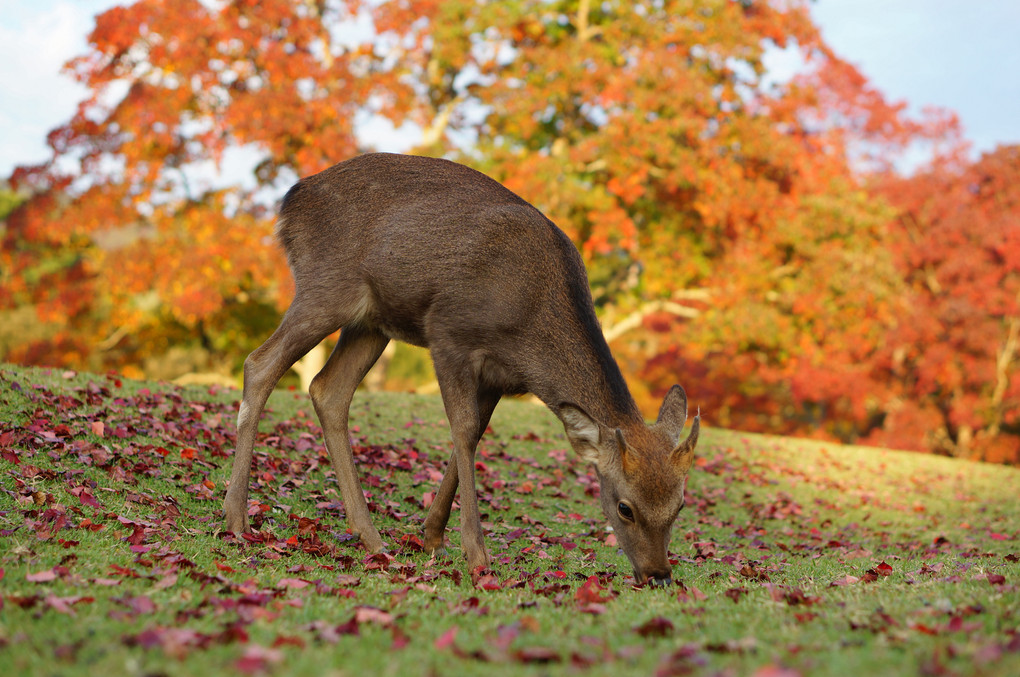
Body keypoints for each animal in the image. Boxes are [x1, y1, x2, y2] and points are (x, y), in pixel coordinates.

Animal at [223, 152, 701, 587]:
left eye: (679, 505)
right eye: (625, 507)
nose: (659, 575)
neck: (529, 328)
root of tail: (291, 199)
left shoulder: (500, 376)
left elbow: (472, 435)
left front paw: (431, 536)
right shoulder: (449, 333)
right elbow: (464, 429)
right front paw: (475, 554)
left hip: (372, 321)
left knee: (328, 390)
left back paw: (370, 536)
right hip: (326, 287)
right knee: (260, 364)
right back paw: (236, 518)